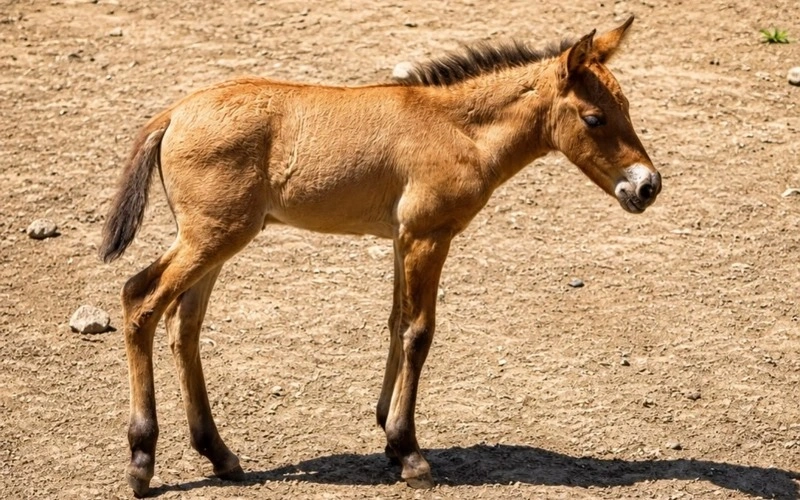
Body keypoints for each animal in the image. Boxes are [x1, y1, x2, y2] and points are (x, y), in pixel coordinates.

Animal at [100, 16, 660, 496]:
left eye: (628, 107)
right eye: (594, 117)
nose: (647, 186)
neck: (456, 128)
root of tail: (173, 113)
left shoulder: (400, 238)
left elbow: (395, 323)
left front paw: (388, 434)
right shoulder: (428, 235)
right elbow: (418, 332)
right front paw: (409, 452)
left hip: (216, 239)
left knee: (184, 324)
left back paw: (220, 455)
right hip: (211, 237)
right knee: (140, 299)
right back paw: (142, 462)